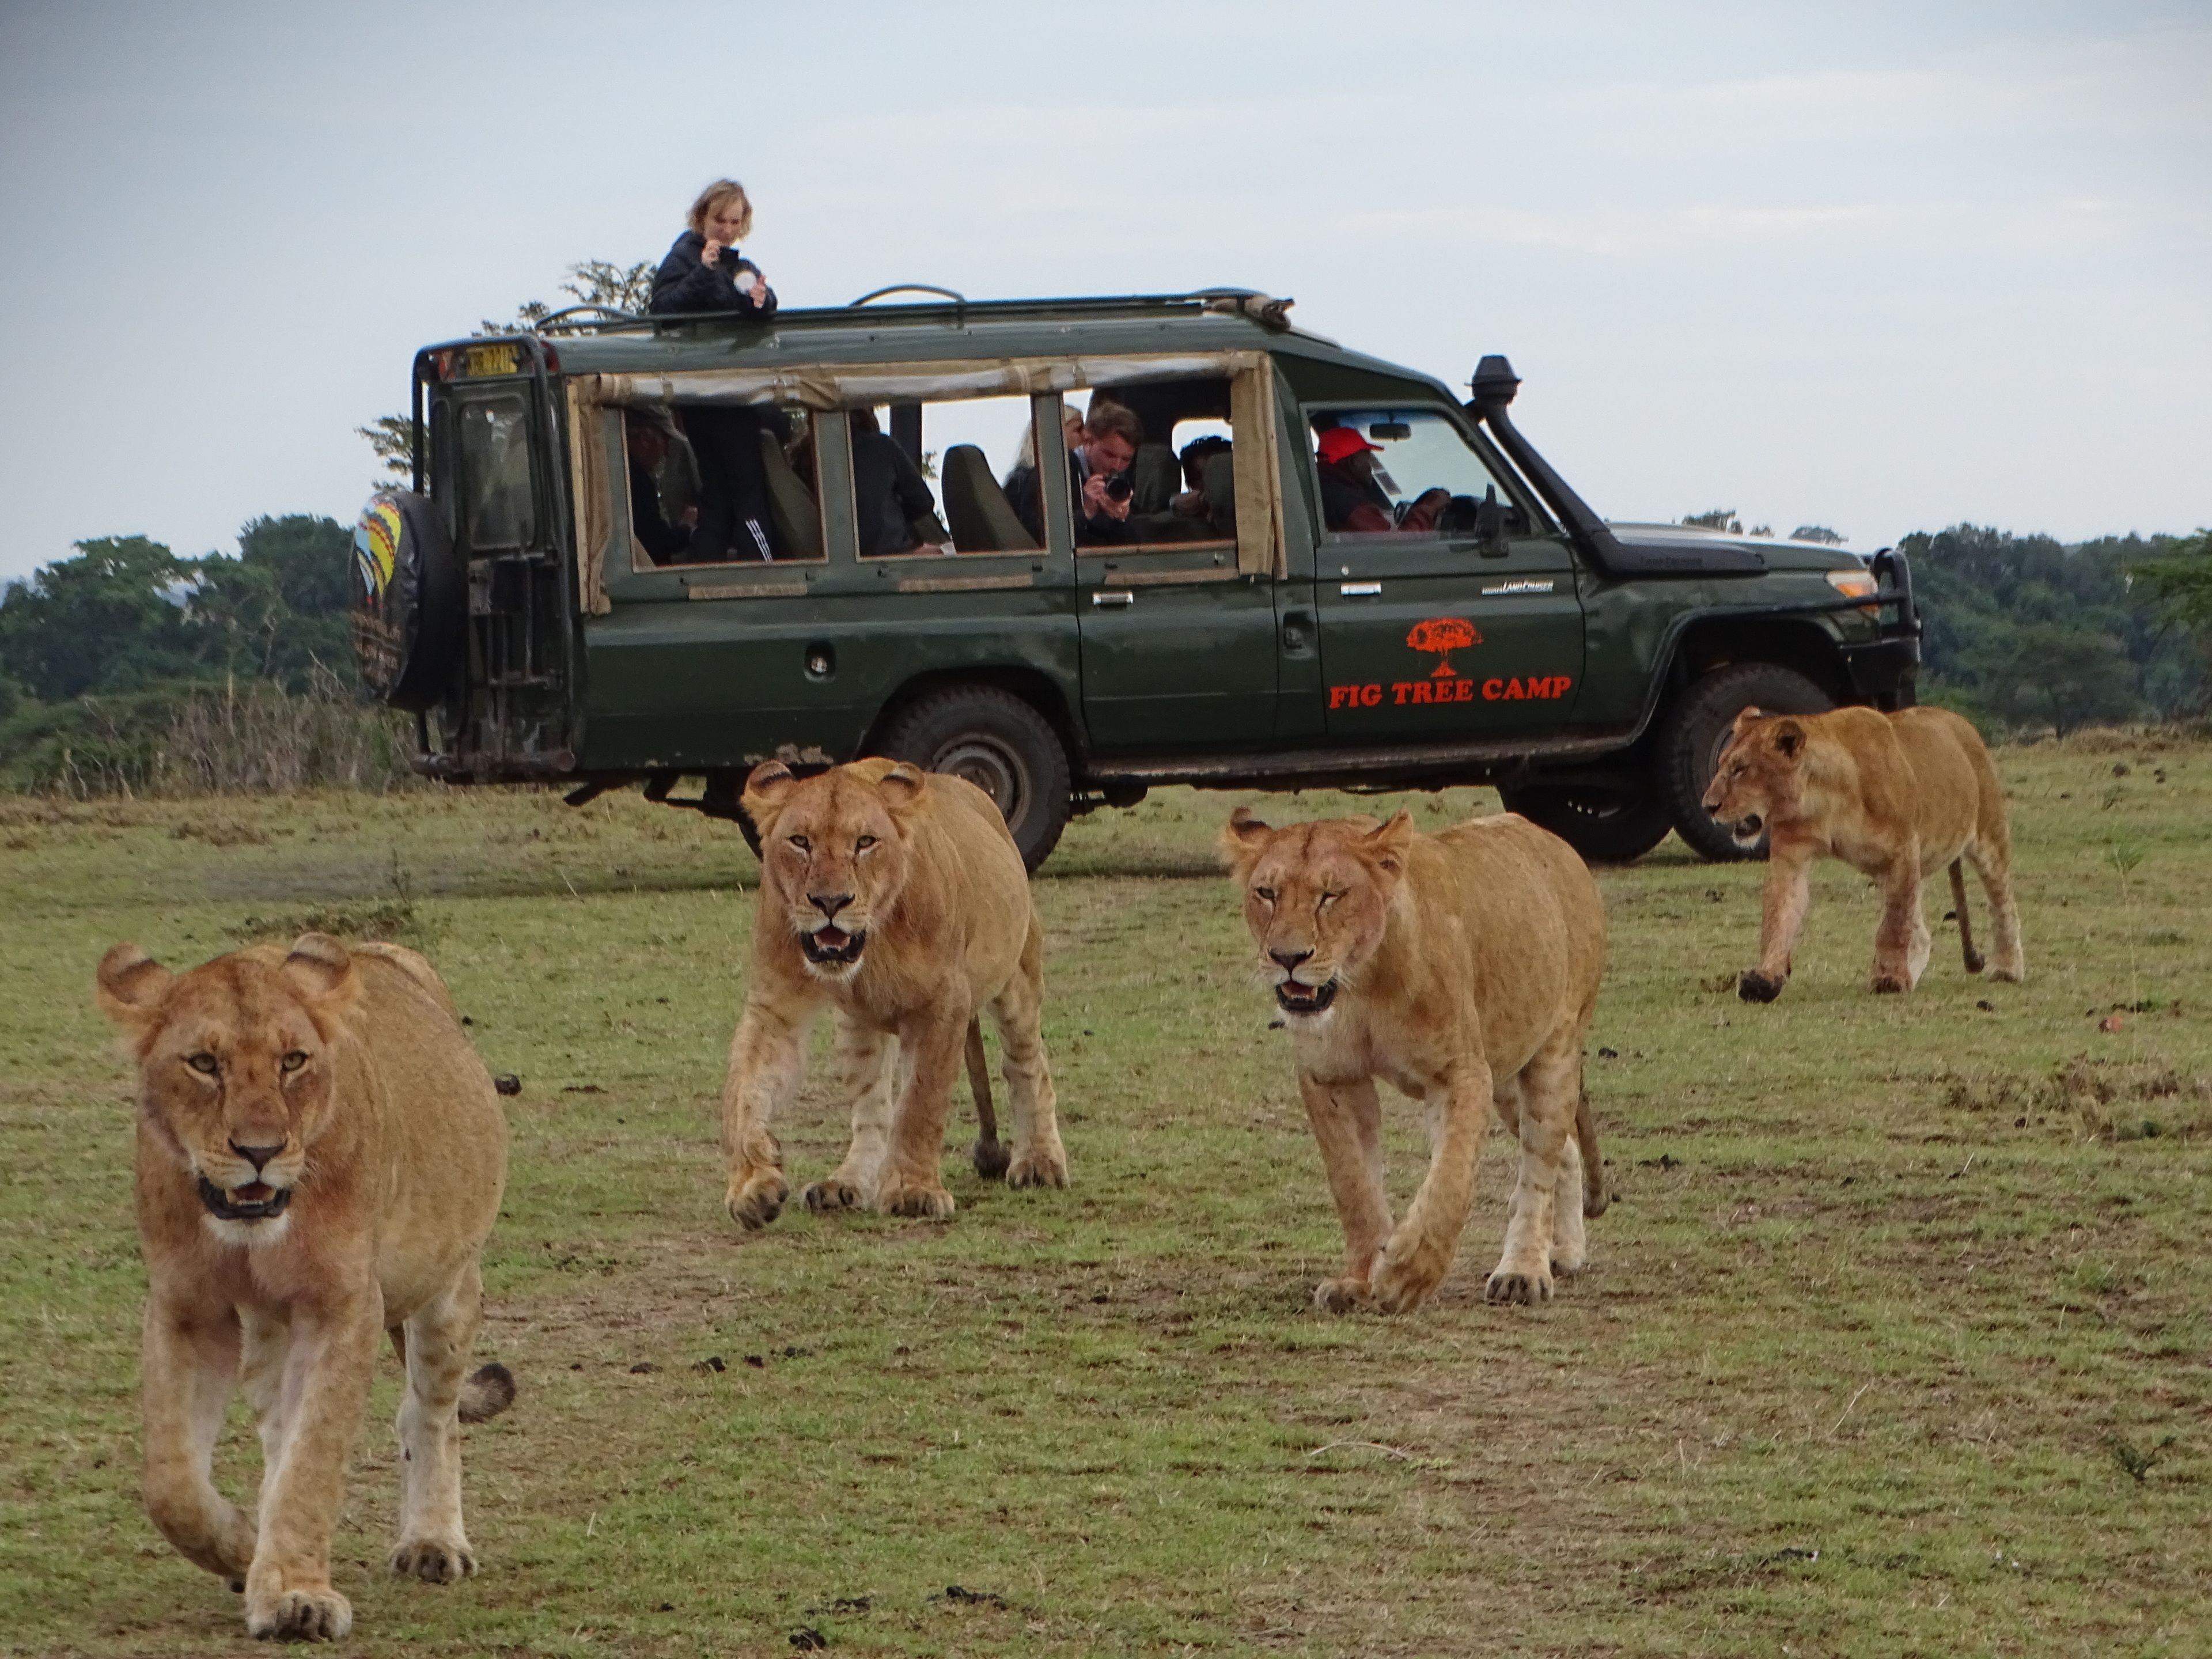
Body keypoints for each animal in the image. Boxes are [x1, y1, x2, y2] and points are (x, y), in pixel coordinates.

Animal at [96, 933, 513, 1643]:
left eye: (294, 1061)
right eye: (204, 1063)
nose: (260, 1151)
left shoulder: (343, 1305)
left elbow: (313, 1458)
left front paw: (294, 1596)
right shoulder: (187, 1307)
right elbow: (171, 1483)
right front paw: (245, 1549)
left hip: (449, 1286)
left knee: (429, 1412)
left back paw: (433, 1544)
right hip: (273, 1326)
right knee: (276, 1431)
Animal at [721, 757, 1068, 1229]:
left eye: (866, 842)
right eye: (800, 842)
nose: (831, 901)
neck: (873, 939)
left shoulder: (943, 1004)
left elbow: (921, 1104)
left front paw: (912, 1191)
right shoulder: (774, 1007)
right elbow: (743, 1092)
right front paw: (752, 1184)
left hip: (1017, 975)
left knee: (1027, 1065)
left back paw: (1040, 1161)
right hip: (856, 1023)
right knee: (872, 1109)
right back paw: (845, 1184)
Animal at [1222, 806, 1608, 1313]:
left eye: (1331, 895)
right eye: (1266, 893)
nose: (1287, 957)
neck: (1361, 983)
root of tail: (1555, 842)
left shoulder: (1461, 1073)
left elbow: (1449, 1182)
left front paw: (1408, 1274)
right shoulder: (1331, 1077)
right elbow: (1353, 1186)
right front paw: (1359, 1280)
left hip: (1552, 1054)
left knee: (1539, 1163)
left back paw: (1524, 1271)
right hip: (1507, 1074)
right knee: (1564, 1149)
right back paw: (1563, 1252)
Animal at [1702, 703, 2024, 1001]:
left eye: (1741, 769)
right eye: (1722, 765)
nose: (1708, 807)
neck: (1824, 798)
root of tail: (1959, 721)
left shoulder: (1903, 851)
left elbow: (1893, 925)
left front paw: (1890, 980)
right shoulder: (1791, 855)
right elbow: (1779, 915)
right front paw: (1764, 979)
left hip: (1988, 836)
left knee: (2003, 904)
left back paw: (2007, 969)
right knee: (1921, 929)